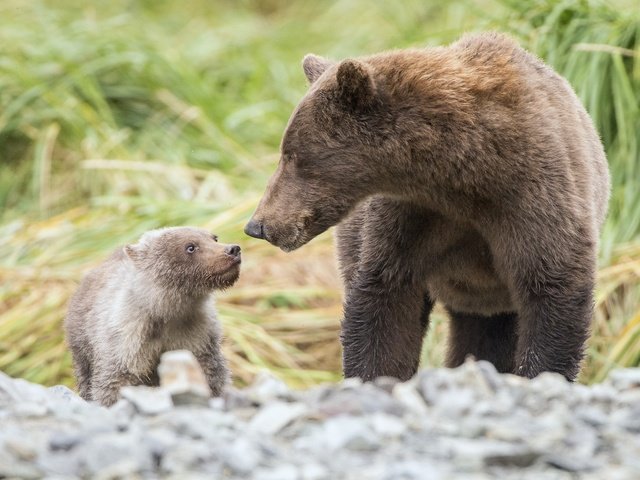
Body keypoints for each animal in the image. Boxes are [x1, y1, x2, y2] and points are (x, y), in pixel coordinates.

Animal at [244, 31, 608, 380]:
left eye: (292, 154)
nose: (257, 225)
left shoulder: (535, 197)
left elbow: (552, 290)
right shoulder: (413, 217)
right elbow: (384, 302)